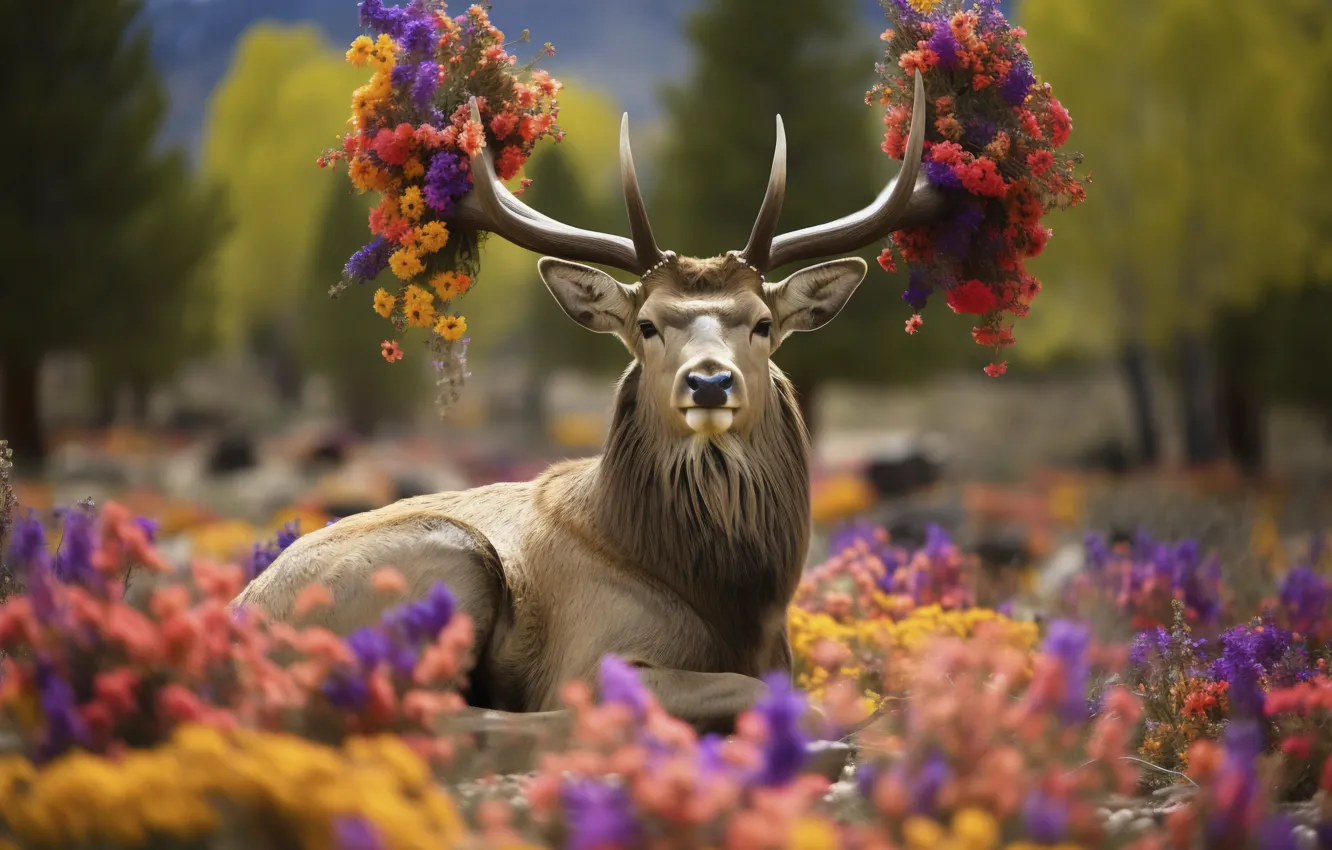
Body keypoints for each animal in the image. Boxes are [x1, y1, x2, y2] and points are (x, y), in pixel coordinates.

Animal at [230, 71, 949, 747]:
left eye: (763, 323)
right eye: (649, 325)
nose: (709, 382)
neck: (732, 607)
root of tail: (237, 626)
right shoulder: (593, 653)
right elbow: (795, 702)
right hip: (442, 561)